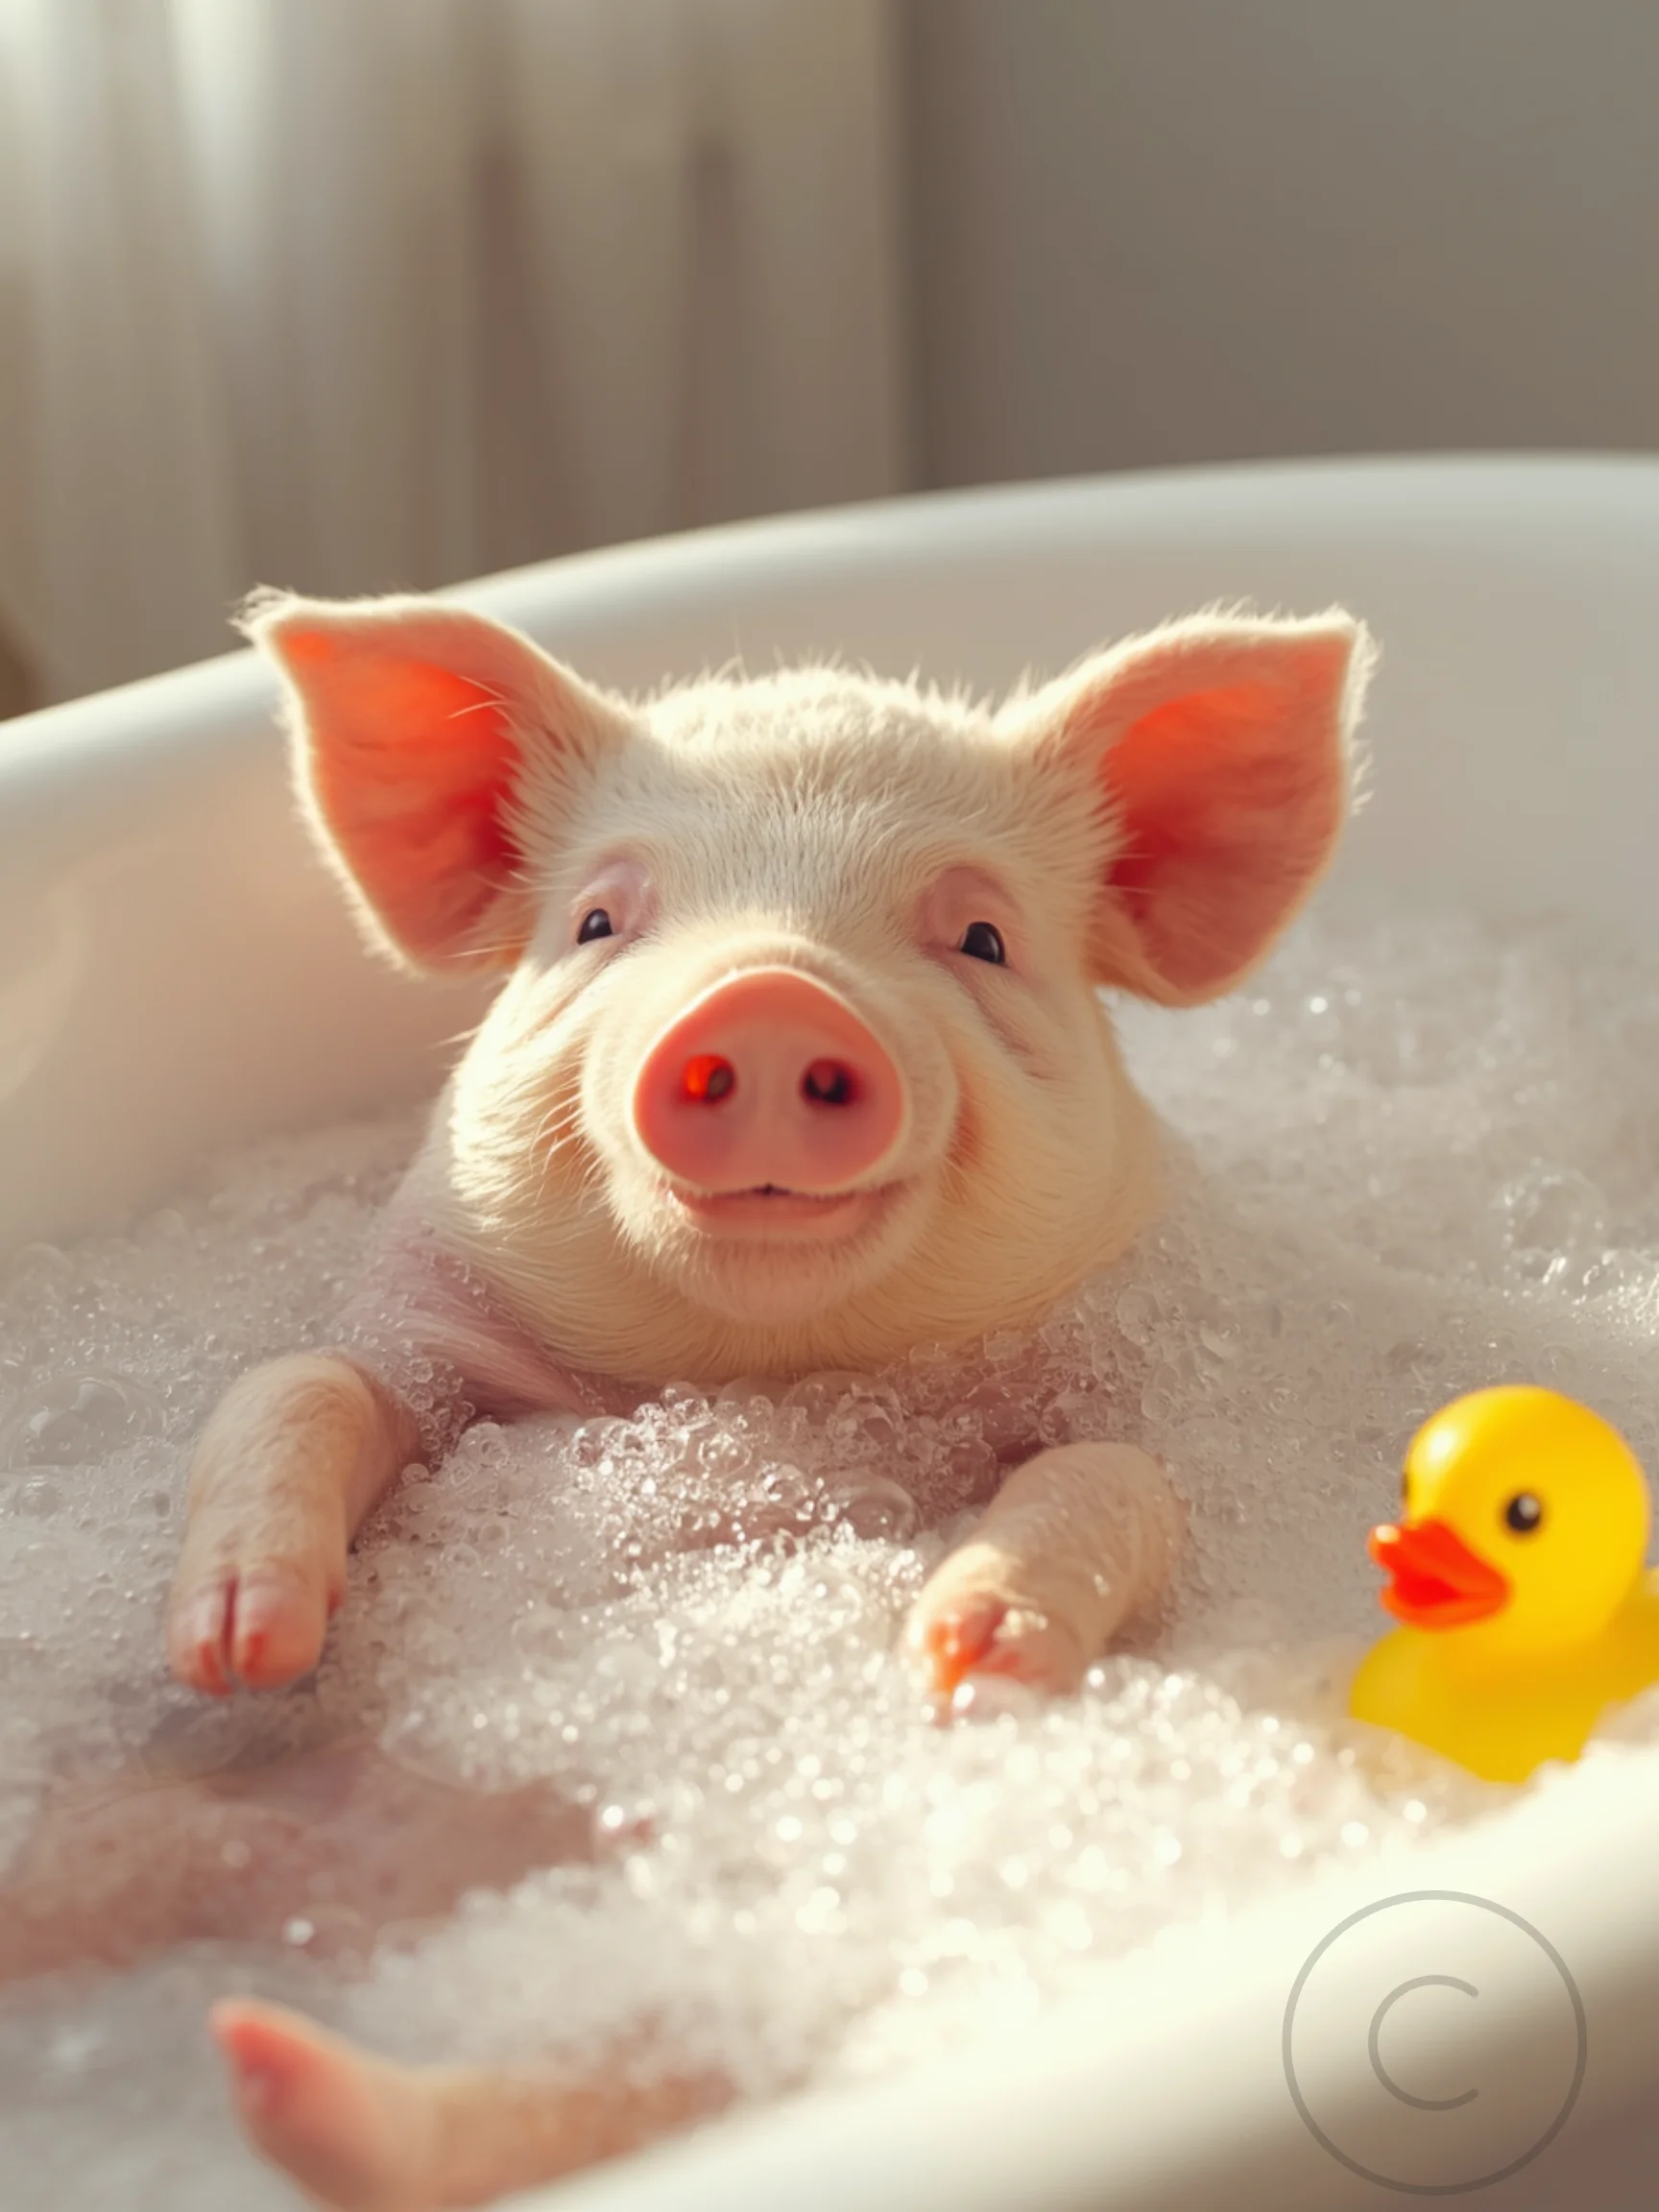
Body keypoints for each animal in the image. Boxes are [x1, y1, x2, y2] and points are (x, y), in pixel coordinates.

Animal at [6, 594, 1373, 2209]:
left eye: (981, 936)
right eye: (601, 922)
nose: (772, 991)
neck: (754, 1375)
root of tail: (368, 1912)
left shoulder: (1155, 1361)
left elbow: (1121, 1480)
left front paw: (960, 1656)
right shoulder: (416, 1321)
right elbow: (303, 1382)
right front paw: (241, 1643)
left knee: (597, 2085)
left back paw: (293, 2085)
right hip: (136, 1832)